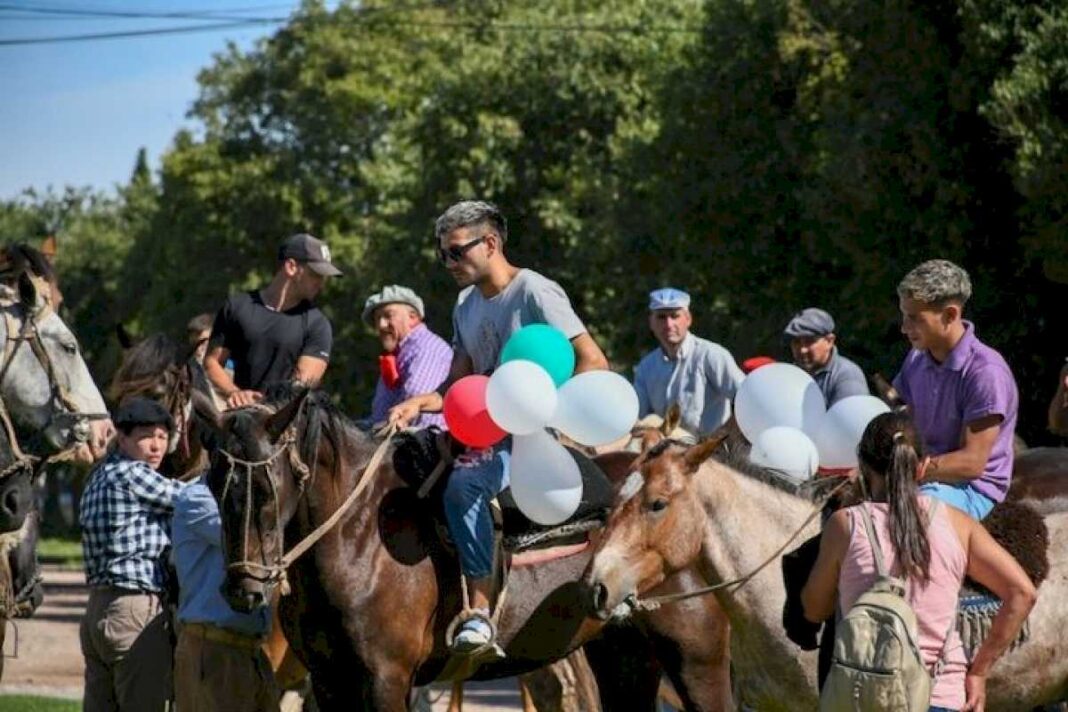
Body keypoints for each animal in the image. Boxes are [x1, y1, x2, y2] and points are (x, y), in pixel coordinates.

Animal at [192, 390, 734, 712]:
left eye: (268, 486)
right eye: (214, 480)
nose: (243, 588)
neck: (357, 537)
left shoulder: (386, 680)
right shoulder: (329, 681)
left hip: (696, 656)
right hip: (625, 657)